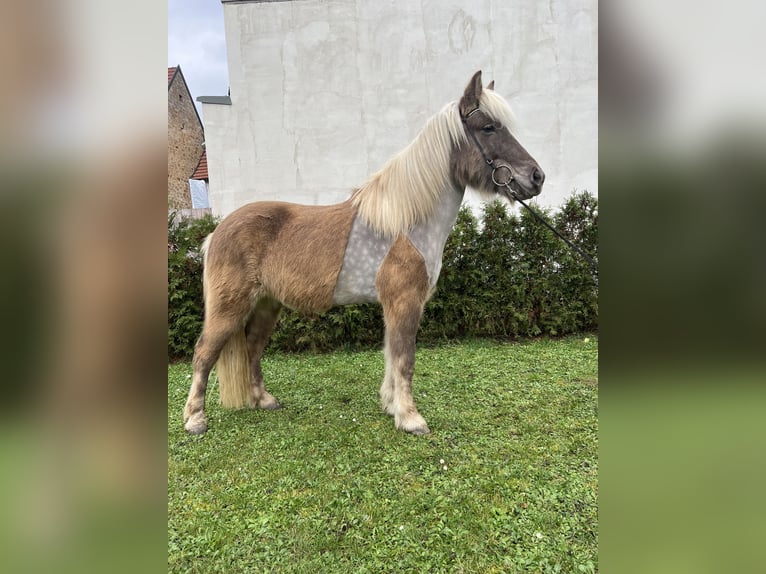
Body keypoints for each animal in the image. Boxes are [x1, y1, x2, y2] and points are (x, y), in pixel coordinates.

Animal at [184, 71, 544, 436]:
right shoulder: (404, 302)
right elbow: (405, 358)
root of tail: (216, 233)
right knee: (204, 353)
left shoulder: (394, 305)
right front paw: (411, 418)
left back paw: (264, 401)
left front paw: (392, 406)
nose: (536, 177)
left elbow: (391, 356)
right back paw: (195, 419)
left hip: (266, 305)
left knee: (252, 349)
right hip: (230, 307)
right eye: (489, 128)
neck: (405, 223)